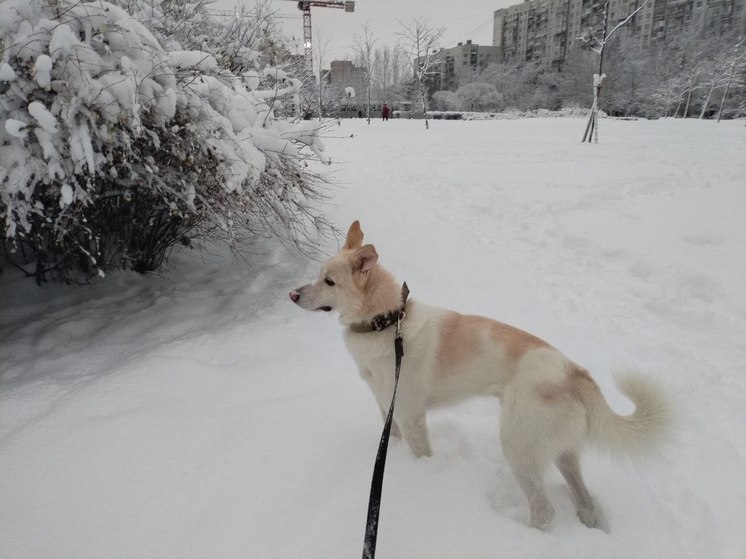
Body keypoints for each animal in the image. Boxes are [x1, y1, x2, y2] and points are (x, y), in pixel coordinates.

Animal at [288, 221, 672, 532]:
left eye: (329, 281)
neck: (386, 322)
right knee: (586, 503)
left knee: (544, 511)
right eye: (319, 274)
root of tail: (573, 371)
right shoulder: (387, 405)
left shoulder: (411, 415)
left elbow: (420, 453)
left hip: (518, 448)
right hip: (562, 453)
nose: (292, 294)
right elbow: (391, 439)